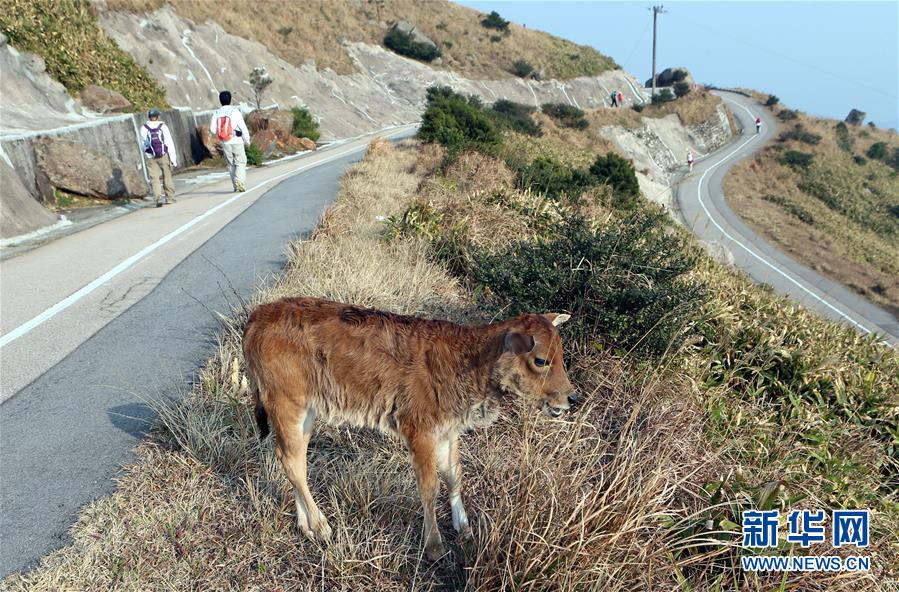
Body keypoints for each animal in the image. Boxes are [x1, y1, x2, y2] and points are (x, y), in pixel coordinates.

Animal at [241, 296, 576, 560]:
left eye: (561, 356)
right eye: (541, 360)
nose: (571, 397)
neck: (468, 360)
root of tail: (257, 316)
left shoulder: (448, 432)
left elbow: (454, 477)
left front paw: (464, 528)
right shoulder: (420, 432)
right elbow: (429, 487)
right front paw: (434, 546)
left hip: (307, 412)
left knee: (293, 459)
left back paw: (307, 526)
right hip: (287, 404)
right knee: (292, 462)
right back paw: (322, 526)